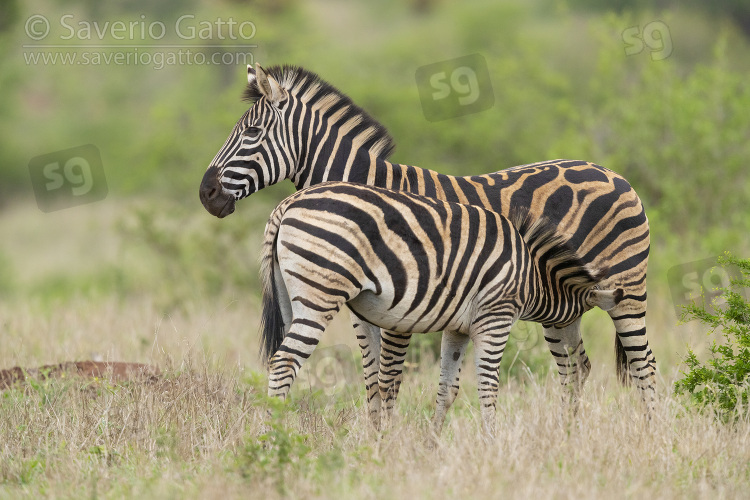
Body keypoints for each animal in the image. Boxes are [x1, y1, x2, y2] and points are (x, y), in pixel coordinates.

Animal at [258, 182, 624, 436]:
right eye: (574, 323)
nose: (583, 368)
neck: (531, 273)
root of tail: (287, 204)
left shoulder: (458, 327)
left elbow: (448, 389)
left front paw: (431, 445)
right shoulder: (496, 316)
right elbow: (488, 387)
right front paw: (493, 446)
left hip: (290, 299)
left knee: (279, 361)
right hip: (320, 294)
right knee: (283, 363)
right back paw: (271, 437)